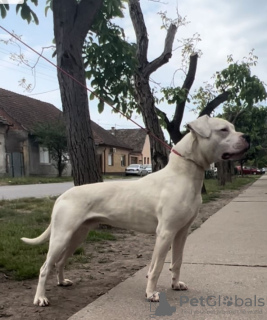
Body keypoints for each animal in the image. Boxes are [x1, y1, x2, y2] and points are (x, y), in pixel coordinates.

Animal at [21, 116, 251, 306]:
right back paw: (40, 298)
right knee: (45, 267)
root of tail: (62, 196)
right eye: (223, 130)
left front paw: (175, 285)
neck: (183, 174)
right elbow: (156, 267)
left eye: (233, 128)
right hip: (61, 236)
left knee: (59, 262)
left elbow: (177, 261)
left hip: (77, 235)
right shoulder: (165, 233)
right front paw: (151, 294)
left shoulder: (181, 232)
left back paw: (62, 282)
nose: (247, 136)